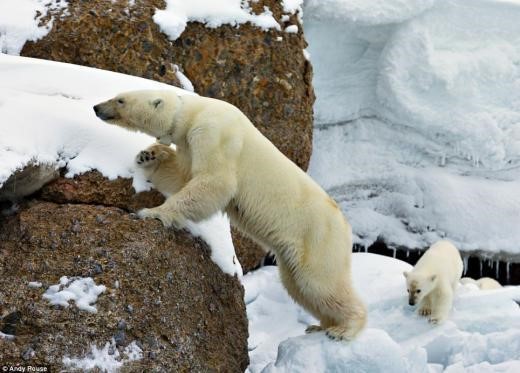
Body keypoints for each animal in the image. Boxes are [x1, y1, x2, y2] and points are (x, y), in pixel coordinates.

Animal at [95, 90, 368, 340]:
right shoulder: (189, 144)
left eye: (120, 99)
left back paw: (344, 329)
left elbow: (215, 182)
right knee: (299, 286)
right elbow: (183, 175)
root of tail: (346, 226)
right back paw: (320, 326)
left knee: (320, 282)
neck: (195, 112)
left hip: (317, 238)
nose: (97, 107)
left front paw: (152, 212)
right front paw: (149, 155)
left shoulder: (214, 135)